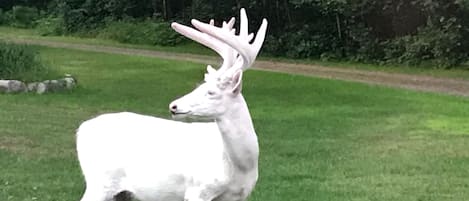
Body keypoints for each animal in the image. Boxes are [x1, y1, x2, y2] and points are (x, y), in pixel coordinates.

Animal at [76, 8, 266, 201]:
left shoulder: (239, 195)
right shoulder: (199, 189)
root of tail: (81, 129)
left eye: (211, 92)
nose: (173, 106)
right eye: (199, 86)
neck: (241, 166)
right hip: (100, 182)